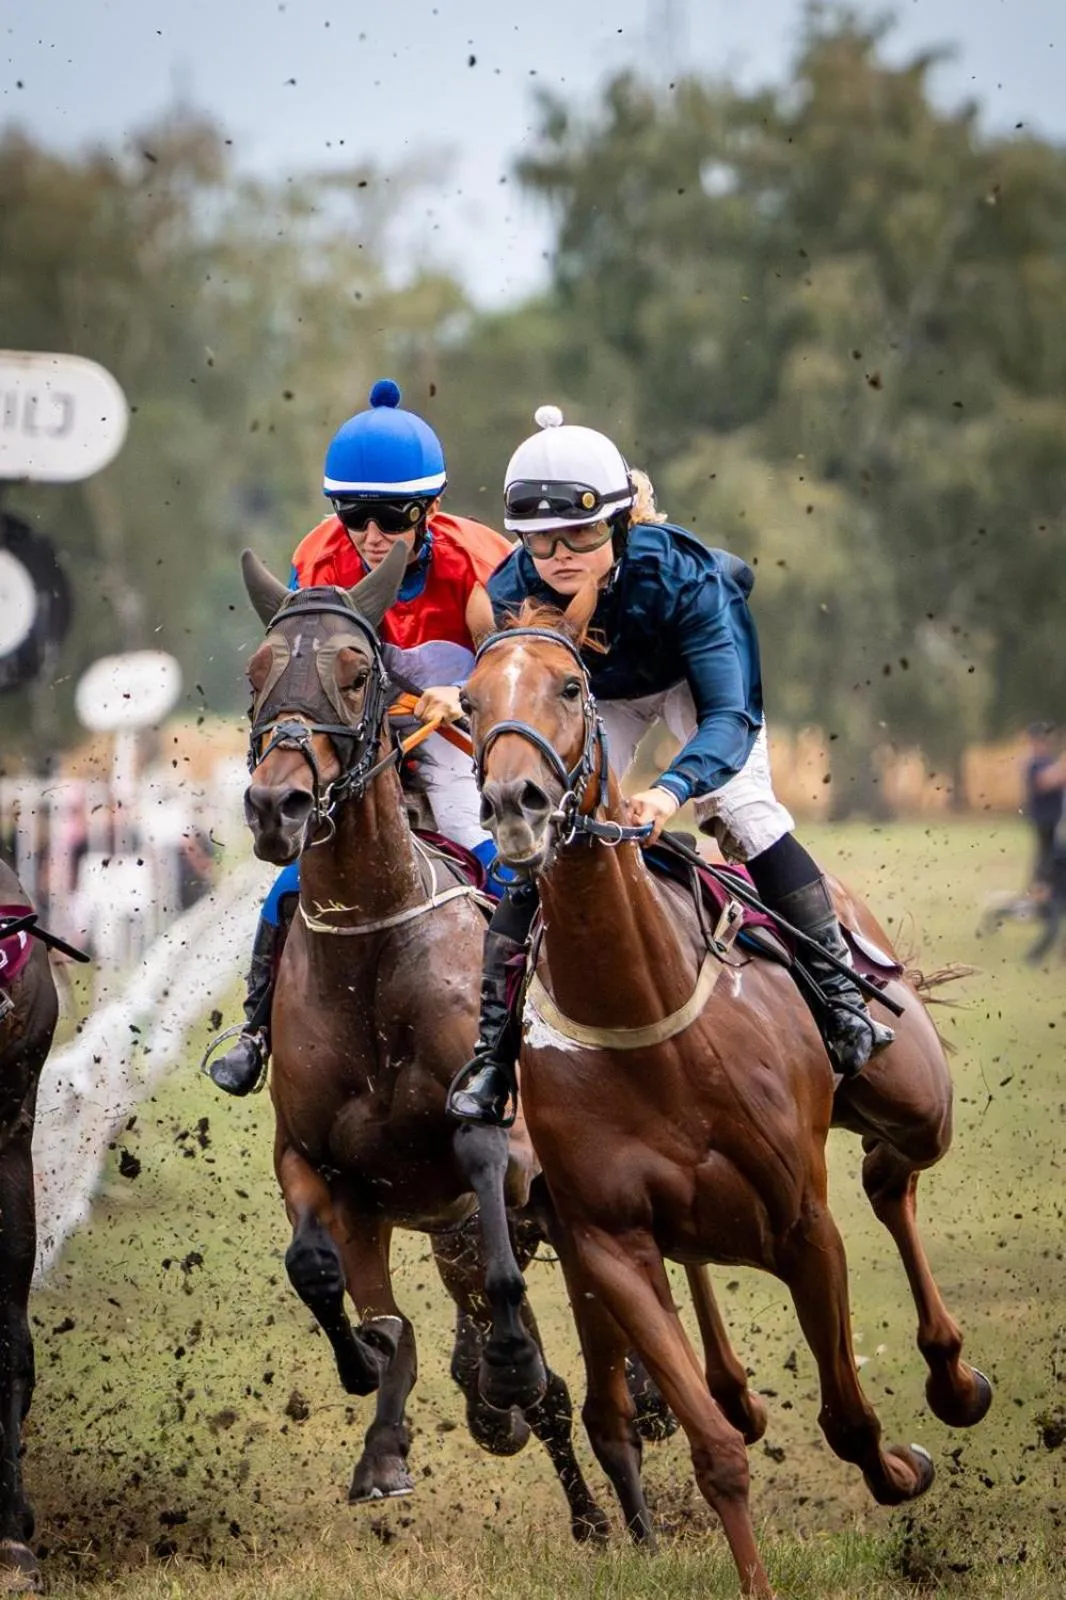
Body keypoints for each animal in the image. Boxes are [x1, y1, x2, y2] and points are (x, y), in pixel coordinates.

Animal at [235, 543, 610, 1537]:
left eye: (356, 673)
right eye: (256, 672)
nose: (277, 805)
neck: (371, 953)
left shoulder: (506, 1149)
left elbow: (482, 1159)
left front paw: (506, 1372)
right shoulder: (326, 1170)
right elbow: (320, 1271)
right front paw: (380, 1422)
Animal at [462, 594, 991, 1598]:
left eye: (572, 686)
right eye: (468, 700)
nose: (516, 804)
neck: (645, 1015)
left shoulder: (803, 1226)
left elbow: (849, 1417)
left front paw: (903, 1466)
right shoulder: (610, 1243)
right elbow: (715, 1452)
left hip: (918, 1097)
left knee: (891, 1176)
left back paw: (953, 1378)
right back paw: (745, 1388)